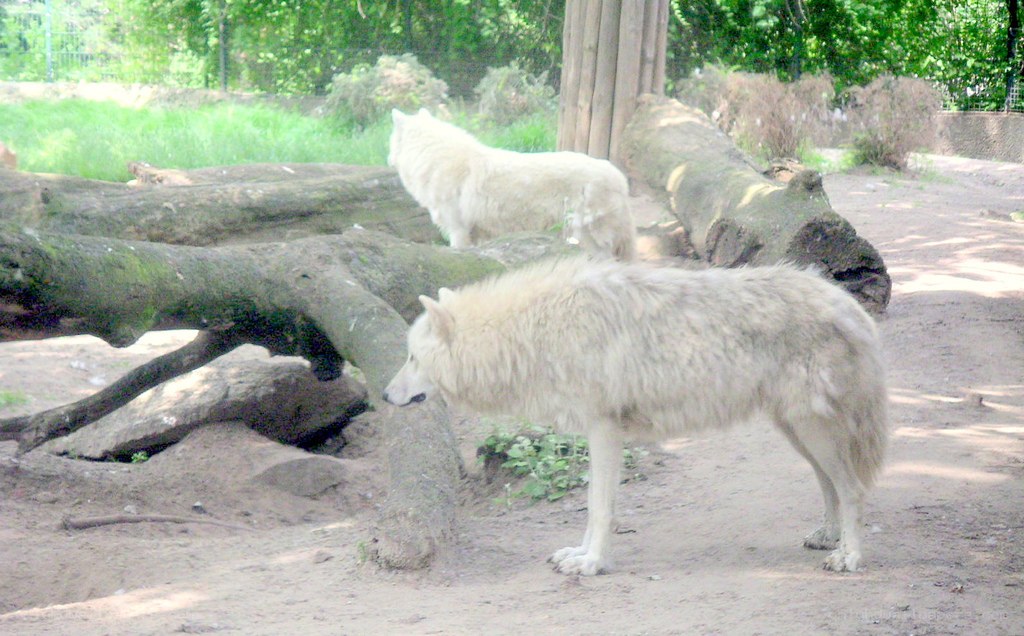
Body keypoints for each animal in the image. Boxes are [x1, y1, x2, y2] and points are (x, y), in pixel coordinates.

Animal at [384, 257, 888, 575]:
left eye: (411, 357)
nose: (386, 396)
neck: (535, 332)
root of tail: (850, 304)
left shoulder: (604, 429)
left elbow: (599, 507)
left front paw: (592, 564)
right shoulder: (596, 433)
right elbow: (592, 509)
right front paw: (579, 554)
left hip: (811, 430)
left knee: (852, 489)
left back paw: (849, 557)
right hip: (797, 432)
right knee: (828, 485)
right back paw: (829, 537)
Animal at [388, 109, 637, 261]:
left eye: (390, 142)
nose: (387, 158)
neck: (433, 157)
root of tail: (619, 178)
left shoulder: (458, 230)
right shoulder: (479, 235)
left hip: (586, 235)